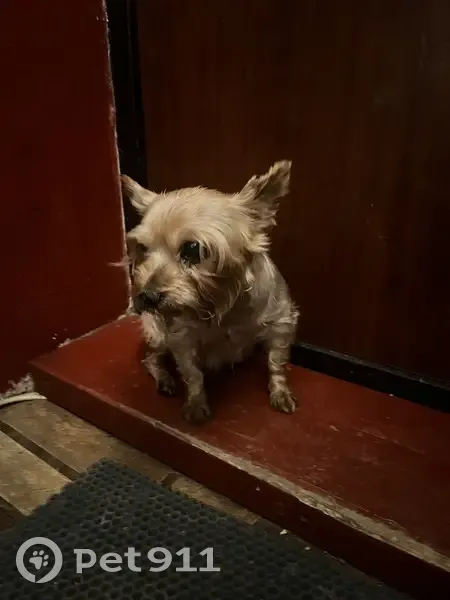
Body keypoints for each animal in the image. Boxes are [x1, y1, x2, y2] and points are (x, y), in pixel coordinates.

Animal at [120, 160, 299, 423]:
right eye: (142, 248)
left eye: (192, 248)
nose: (146, 297)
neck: (223, 305)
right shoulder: (182, 338)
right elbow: (193, 374)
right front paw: (196, 403)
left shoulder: (282, 322)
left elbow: (277, 362)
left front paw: (280, 391)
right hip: (156, 334)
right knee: (152, 358)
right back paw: (165, 379)